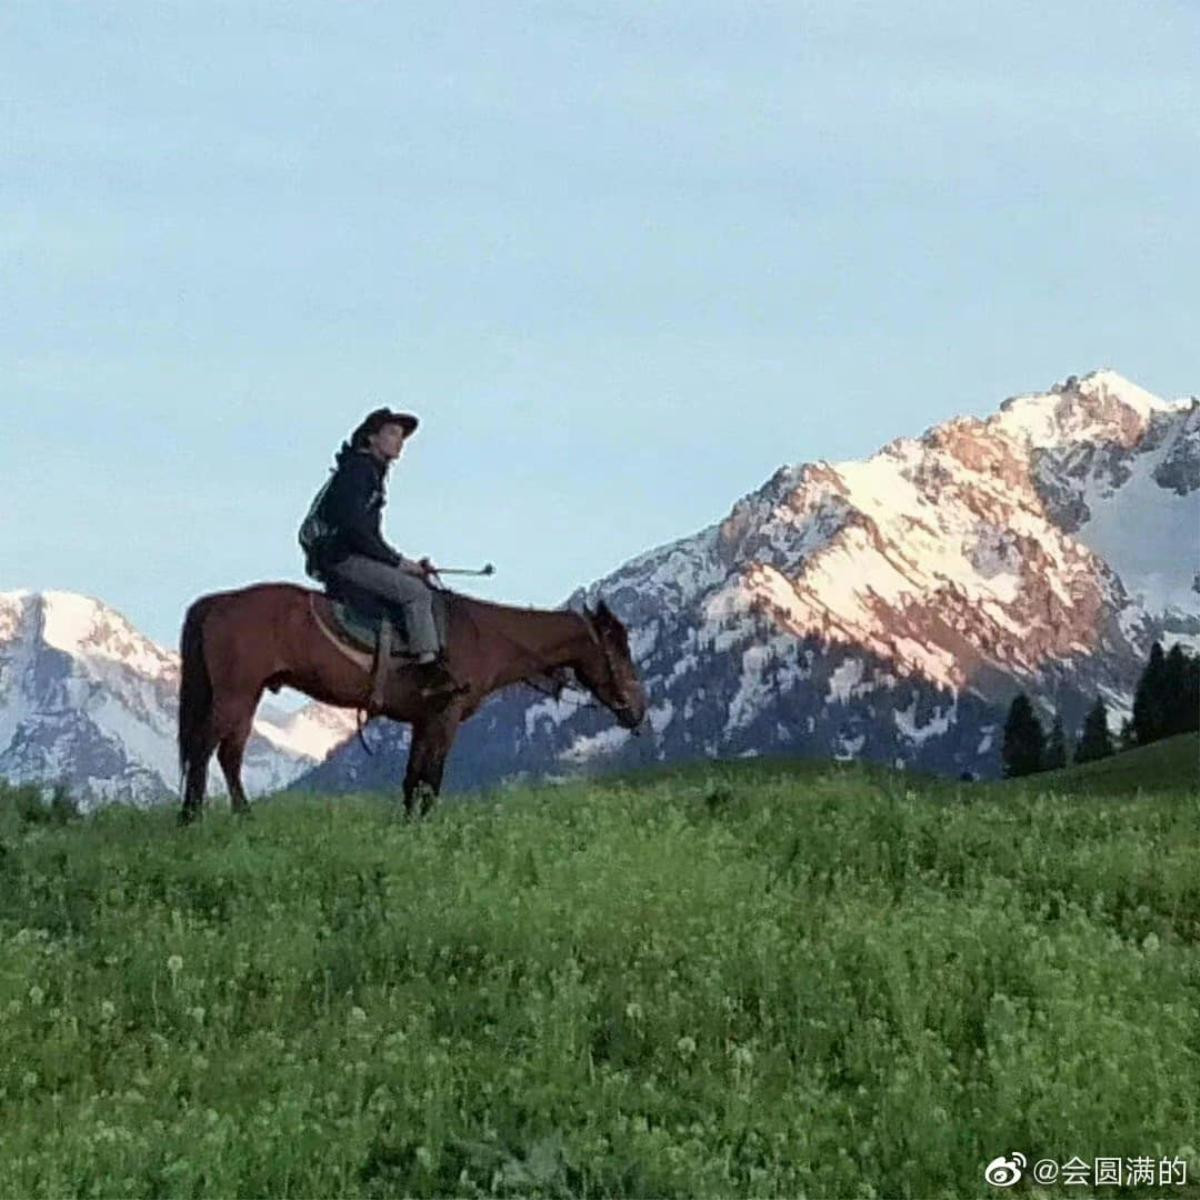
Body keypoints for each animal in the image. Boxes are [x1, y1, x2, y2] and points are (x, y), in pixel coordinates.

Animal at [176, 583, 648, 825]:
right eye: (618, 646)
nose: (638, 708)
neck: (486, 636)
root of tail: (215, 602)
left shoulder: (424, 720)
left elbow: (413, 779)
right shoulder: (445, 716)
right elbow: (431, 780)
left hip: (246, 694)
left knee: (229, 754)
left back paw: (244, 817)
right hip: (235, 693)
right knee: (205, 749)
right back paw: (191, 818)